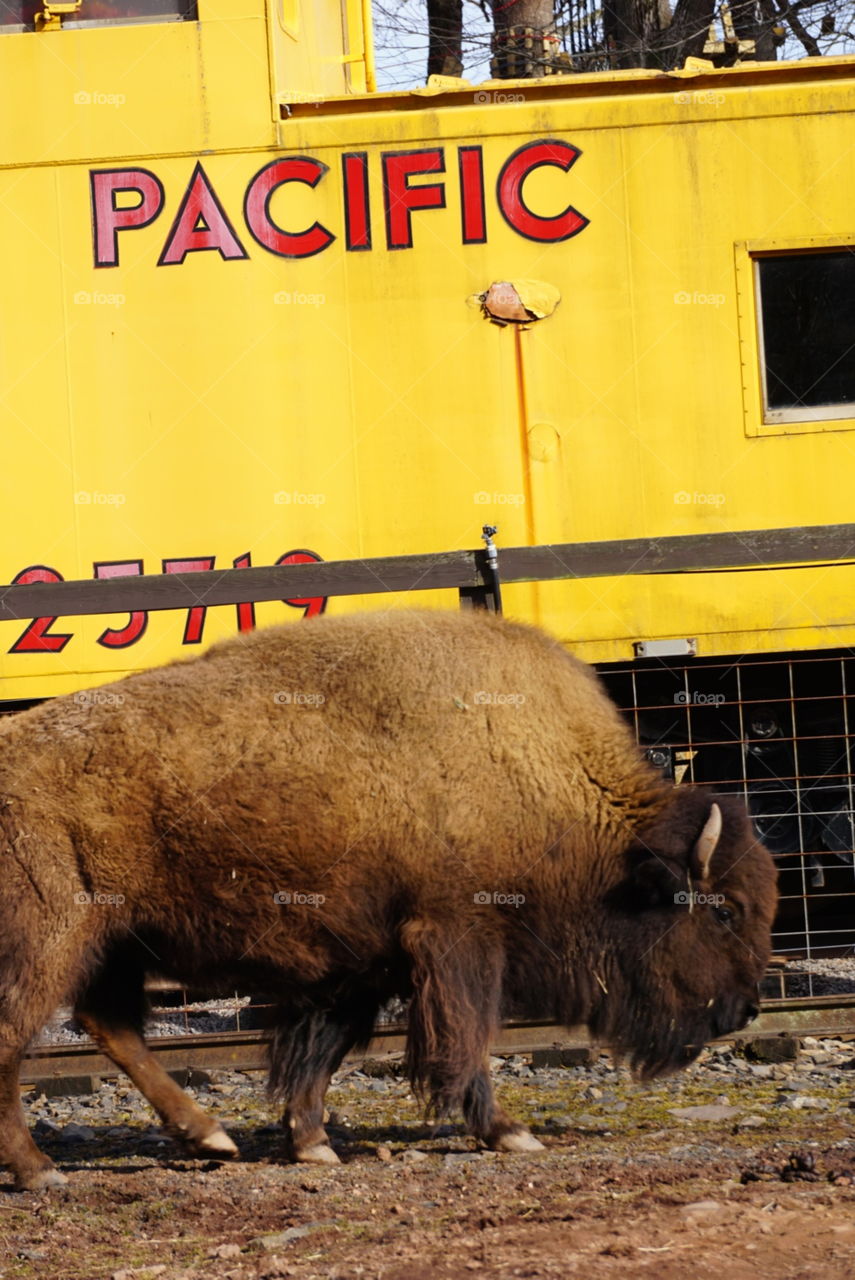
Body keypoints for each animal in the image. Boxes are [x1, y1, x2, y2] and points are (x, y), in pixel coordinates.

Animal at [0, 609, 773, 1187]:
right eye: (724, 910)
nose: (743, 1010)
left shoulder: (363, 964)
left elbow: (323, 1051)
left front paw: (311, 1142)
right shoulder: (456, 940)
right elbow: (464, 1041)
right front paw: (509, 1132)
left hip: (110, 942)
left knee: (109, 1024)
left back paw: (209, 1138)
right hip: (51, 944)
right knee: (21, 1036)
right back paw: (41, 1171)